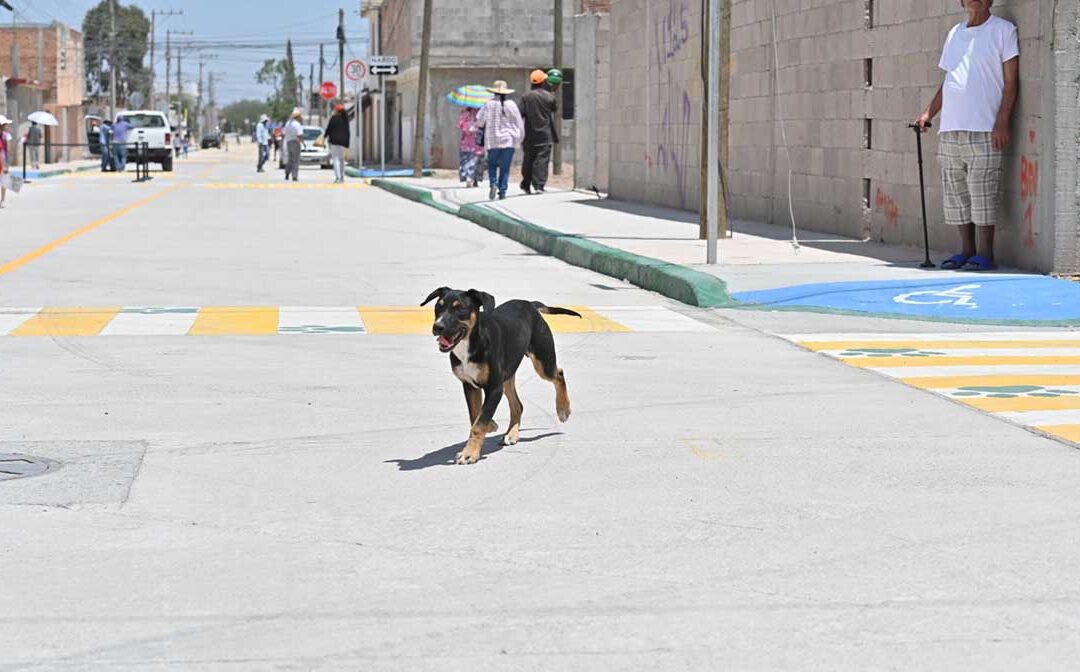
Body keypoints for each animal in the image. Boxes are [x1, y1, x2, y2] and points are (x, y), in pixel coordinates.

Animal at [419, 287, 578, 466]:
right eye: (438, 307)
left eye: (459, 309)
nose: (437, 327)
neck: (470, 343)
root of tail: (530, 304)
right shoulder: (470, 386)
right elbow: (475, 416)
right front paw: (491, 426)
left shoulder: (494, 388)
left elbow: (479, 422)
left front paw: (469, 453)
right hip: (508, 376)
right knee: (518, 406)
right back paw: (512, 434)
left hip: (542, 362)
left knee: (559, 373)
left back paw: (563, 409)